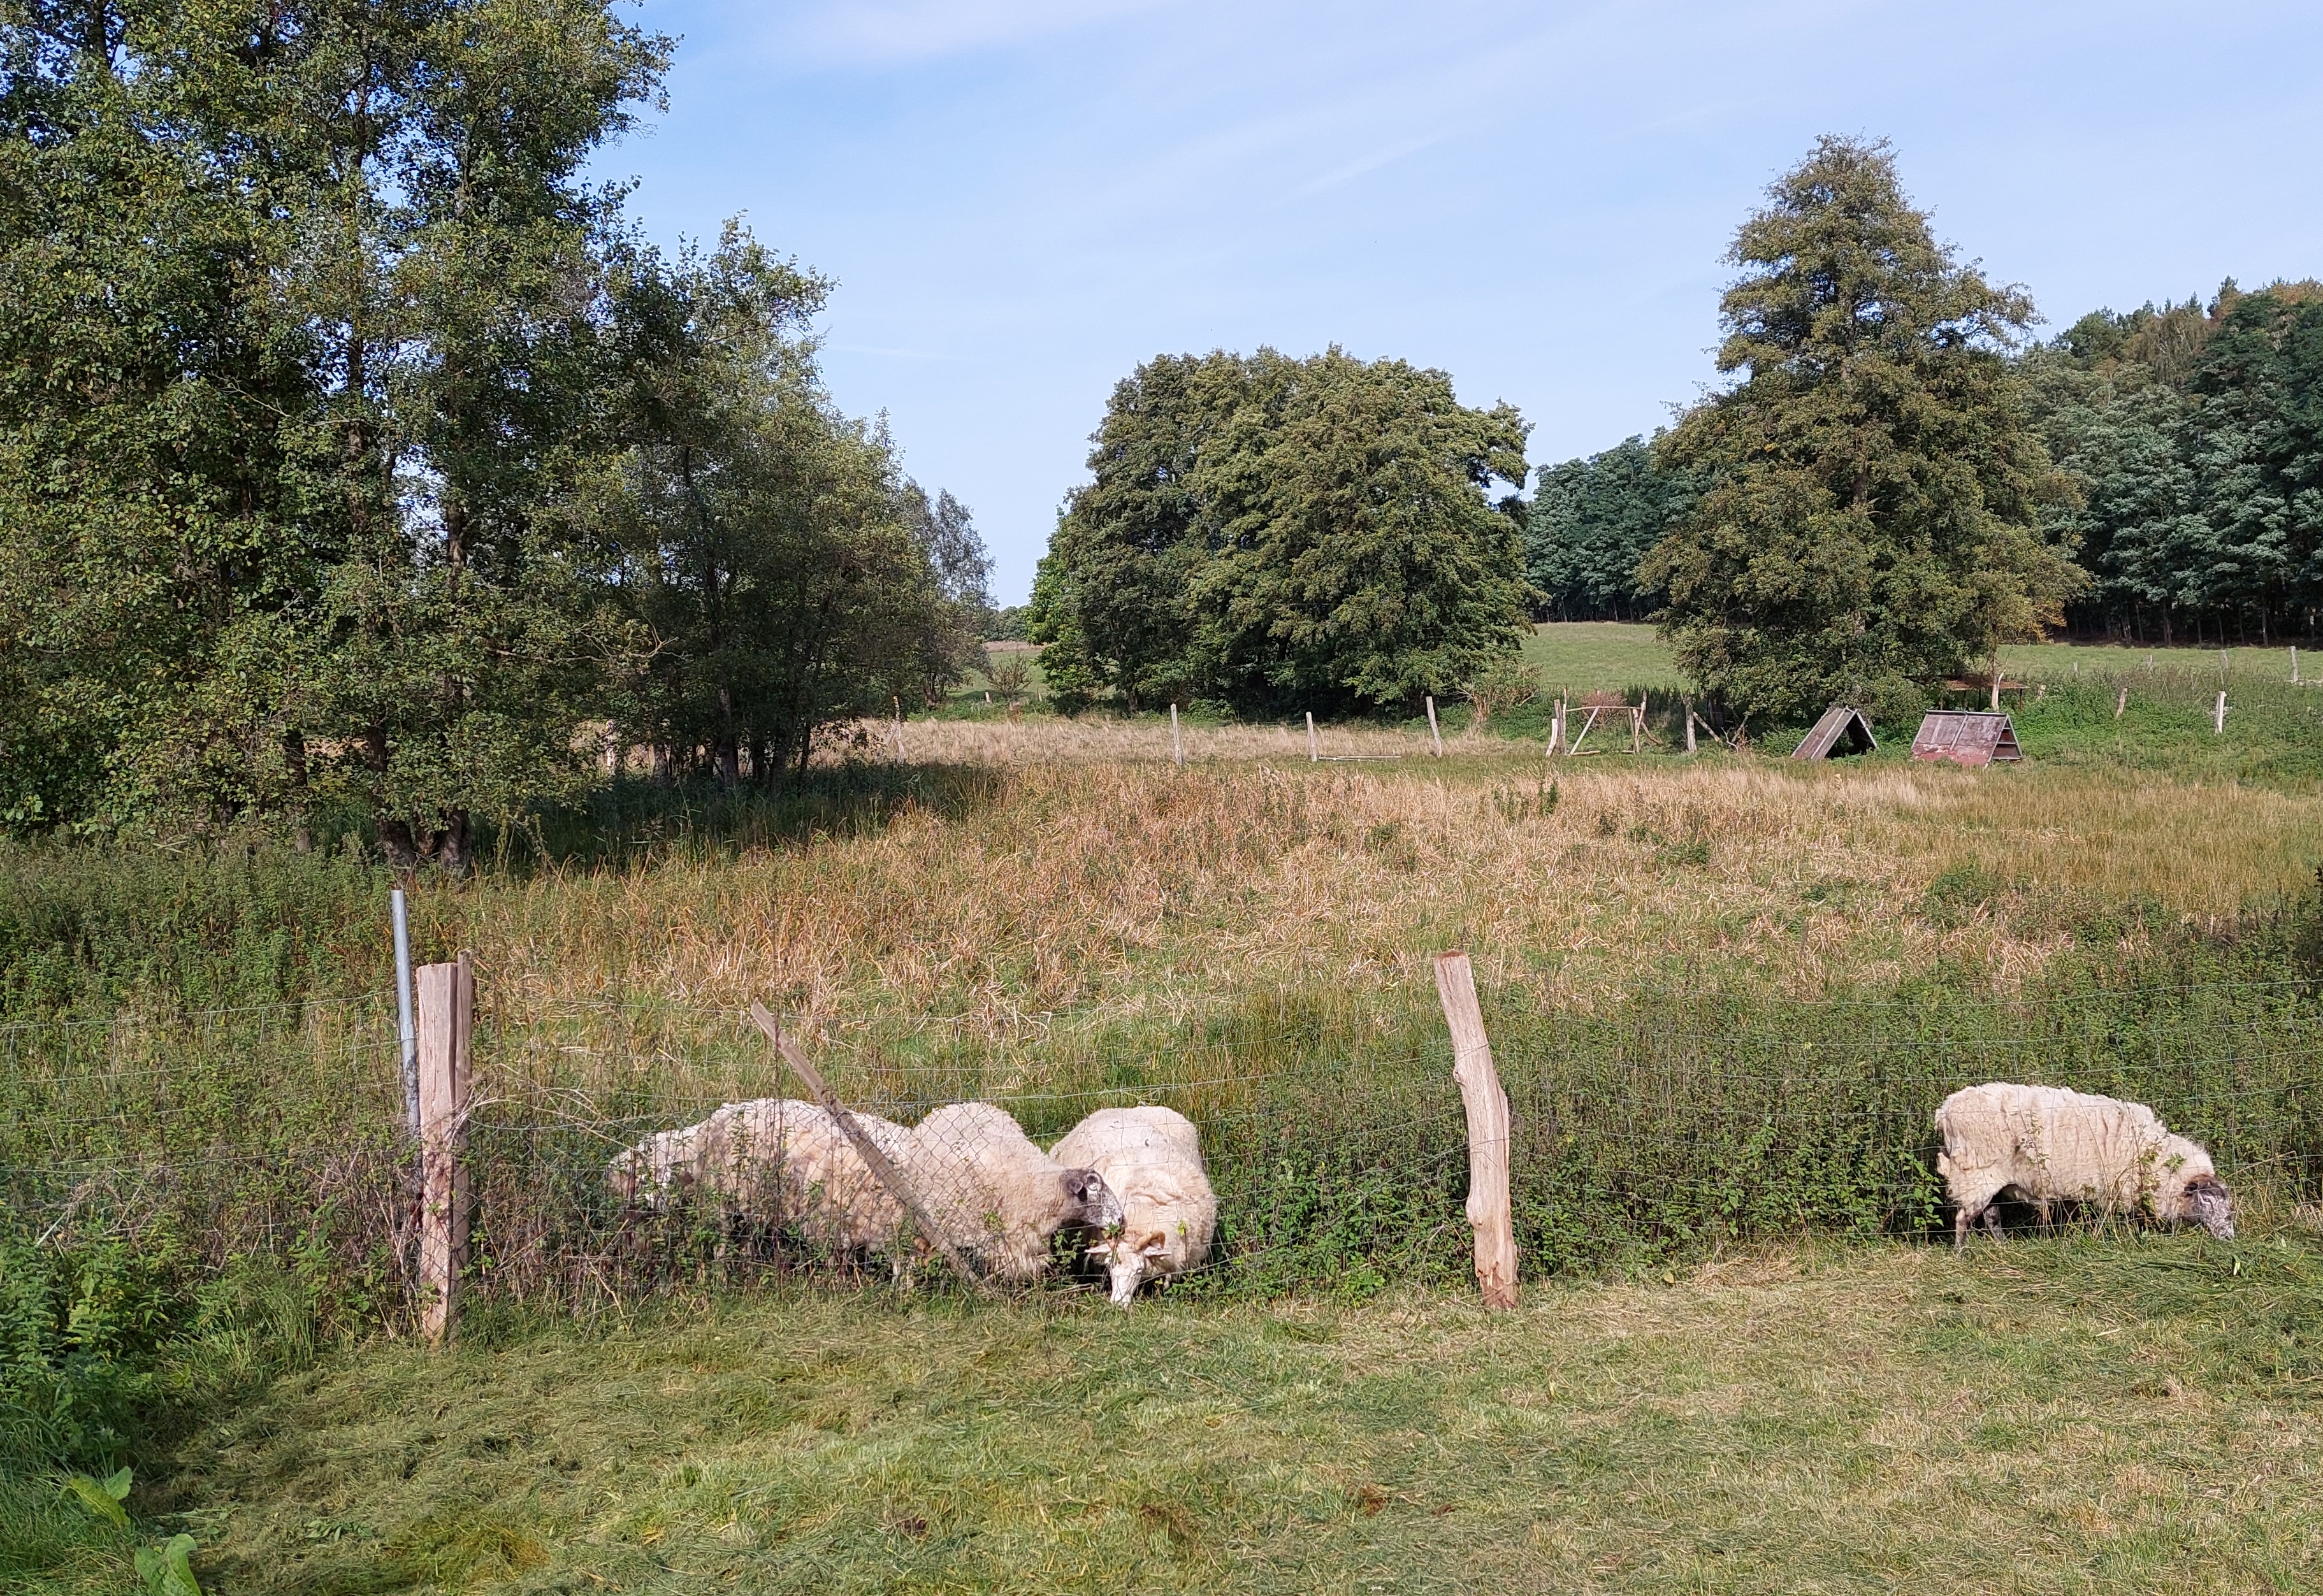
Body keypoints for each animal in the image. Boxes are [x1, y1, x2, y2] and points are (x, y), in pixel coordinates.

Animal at [1923, 1087, 2230, 1245]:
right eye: (2206, 1201)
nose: (2229, 1237)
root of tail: (1944, 1112)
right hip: (1975, 1172)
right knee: (1964, 1218)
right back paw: (1962, 1253)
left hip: (1990, 1177)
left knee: (1991, 1215)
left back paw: (2002, 1247)